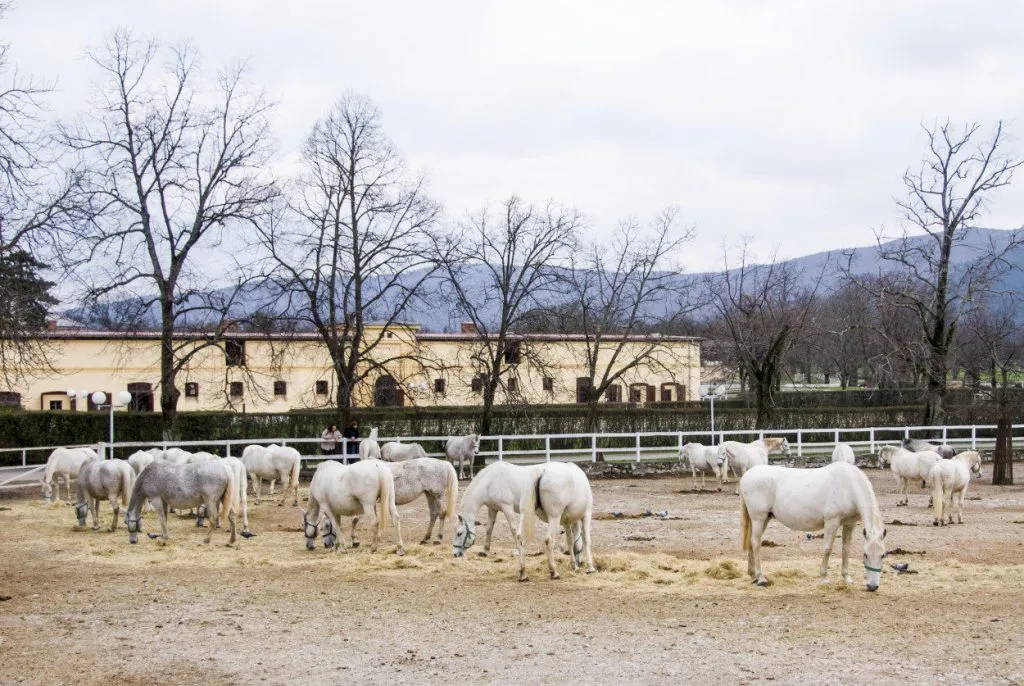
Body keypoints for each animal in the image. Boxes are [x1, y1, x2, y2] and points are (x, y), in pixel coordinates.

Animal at [741, 462, 884, 589]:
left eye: (883, 555)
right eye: (865, 554)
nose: (872, 586)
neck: (849, 485)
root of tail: (746, 476)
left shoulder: (849, 523)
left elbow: (846, 549)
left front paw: (847, 578)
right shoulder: (832, 522)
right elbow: (827, 549)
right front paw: (824, 578)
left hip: (764, 519)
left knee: (751, 542)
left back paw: (753, 575)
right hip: (759, 519)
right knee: (756, 543)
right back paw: (761, 578)